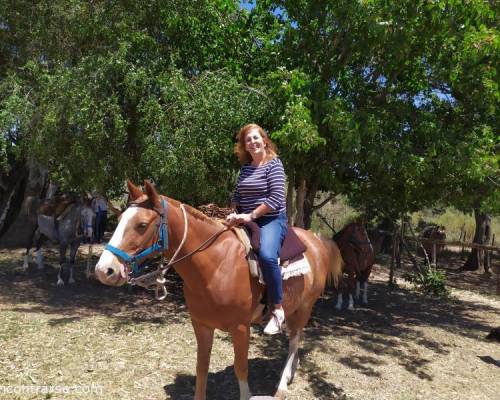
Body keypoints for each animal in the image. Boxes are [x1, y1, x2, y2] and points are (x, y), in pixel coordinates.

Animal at [94, 182, 344, 400]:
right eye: (119, 220)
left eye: (142, 225)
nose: (104, 270)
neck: (217, 264)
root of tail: (317, 240)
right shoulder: (201, 325)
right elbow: (201, 367)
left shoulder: (241, 328)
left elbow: (240, 368)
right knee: (294, 340)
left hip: (305, 307)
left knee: (294, 341)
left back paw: (282, 386)